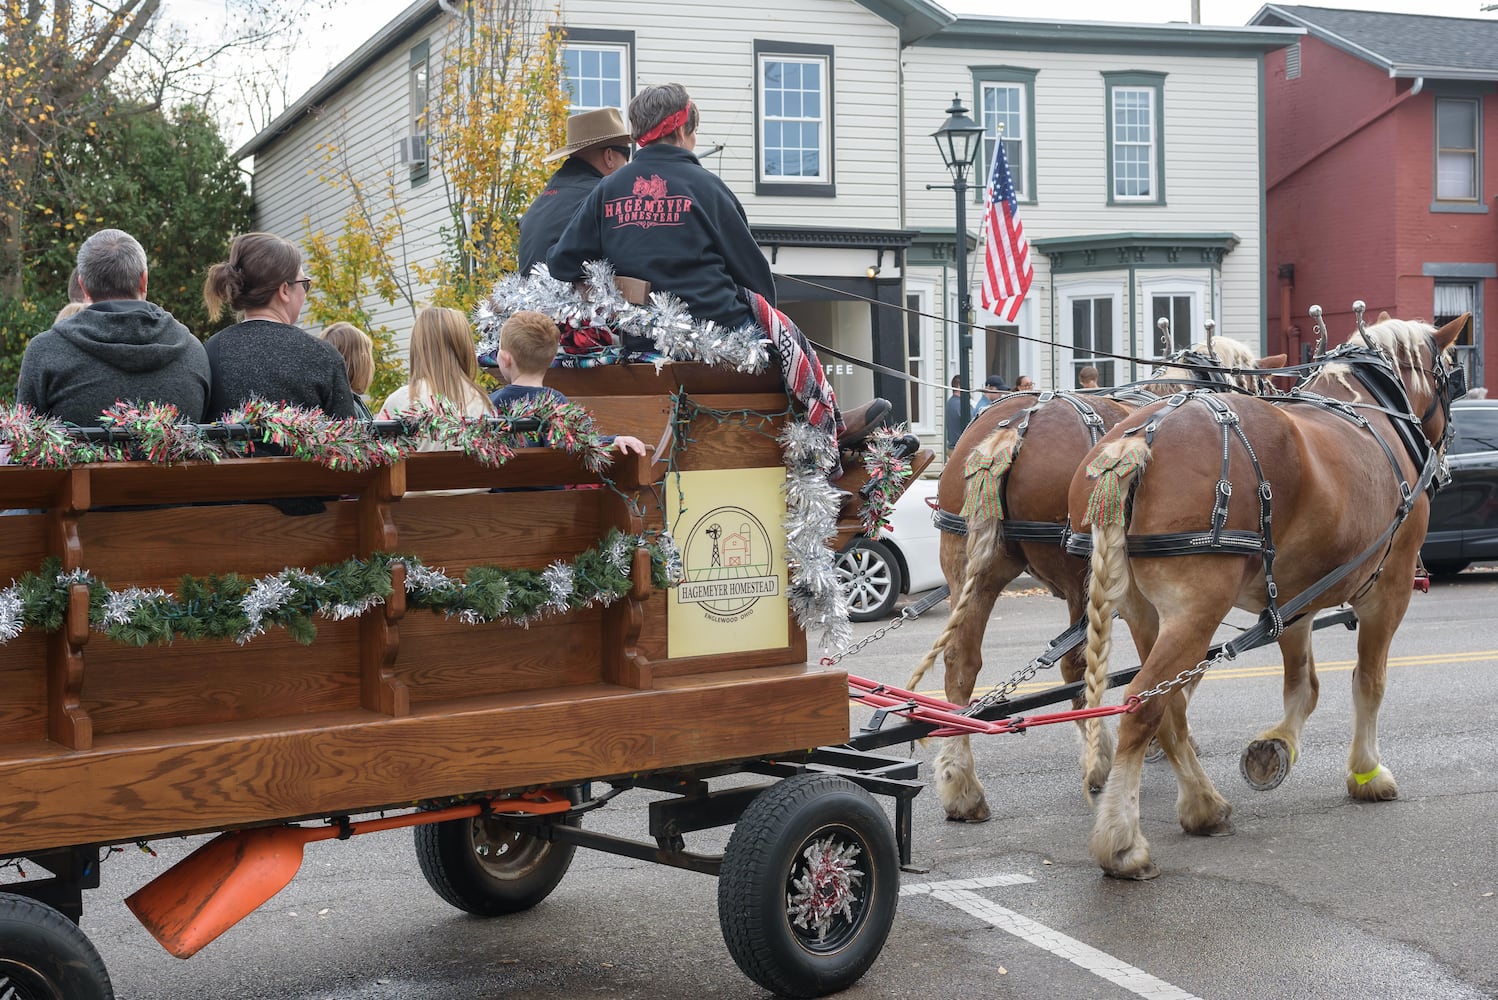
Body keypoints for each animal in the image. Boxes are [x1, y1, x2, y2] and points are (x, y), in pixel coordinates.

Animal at [904, 339, 1282, 826]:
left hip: (969, 566)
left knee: (961, 663)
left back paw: (961, 786)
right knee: (1076, 666)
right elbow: (1179, 670)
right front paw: (1163, 741)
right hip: (1077, 574)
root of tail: (1016, 429)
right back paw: (1097, 759)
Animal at [1066, 315, 1462, 880]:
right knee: (1143, 704)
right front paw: (1366, 774)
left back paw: (1203, 805)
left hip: (1144, 613)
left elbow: (1303, 686)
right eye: (1454, 375)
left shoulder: (1292, 598)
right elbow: (1369, 682)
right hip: (1196, 610)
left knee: (1171, 705)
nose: (1447, 456)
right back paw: (1122, 842)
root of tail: (1137, 442)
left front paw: (1277, 746)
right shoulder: (1389, 588)